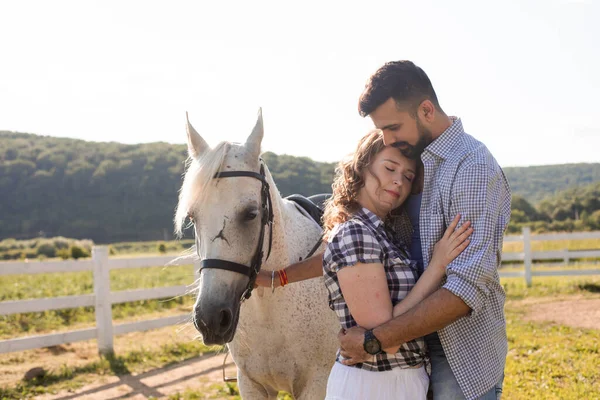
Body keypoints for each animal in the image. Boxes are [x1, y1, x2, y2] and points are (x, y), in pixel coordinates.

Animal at [176, 109, 340, 400]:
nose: (210, 319)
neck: (270, 308)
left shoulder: (316, 384)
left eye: (251, 214)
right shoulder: (251, 384)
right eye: (193, 217)